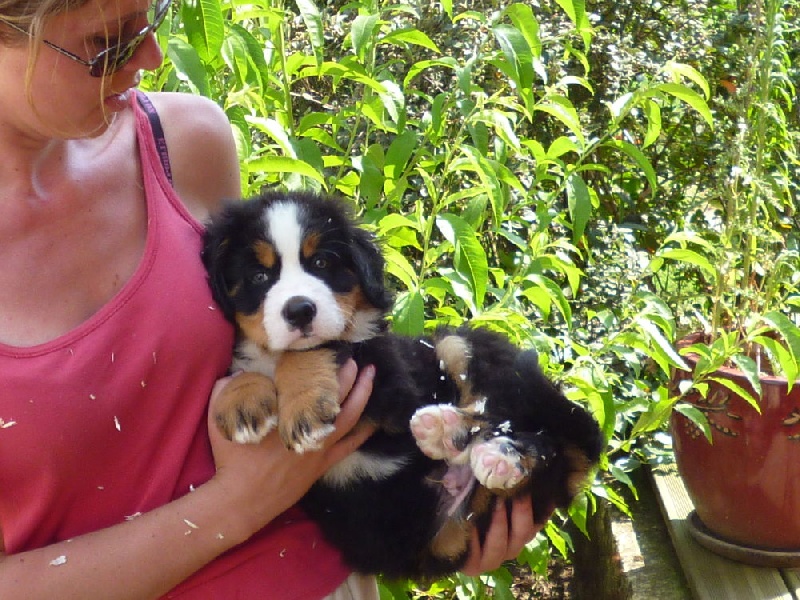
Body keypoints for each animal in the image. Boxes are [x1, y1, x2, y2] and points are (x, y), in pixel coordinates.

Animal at [201, 190, 604, 580]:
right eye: (258, 277)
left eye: (321, 264)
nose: (300, 310)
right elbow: (242, 369)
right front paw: (241, 404)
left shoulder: (390, 381)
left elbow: (322, 347)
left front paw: (303, 406)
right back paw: (451, 434)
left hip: (462, 346)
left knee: (546, 438)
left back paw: (496, 453)